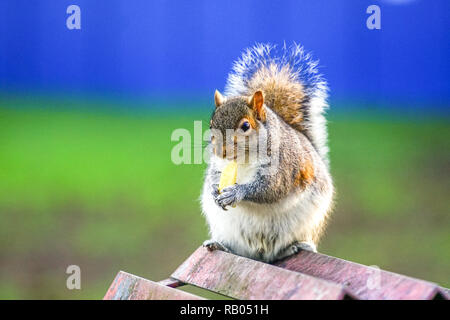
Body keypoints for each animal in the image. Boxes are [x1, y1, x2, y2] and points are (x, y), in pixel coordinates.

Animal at [200, 42, 334, 262]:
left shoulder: (285, 166)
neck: (244, 159)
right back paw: (220, 245)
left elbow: (270, 188)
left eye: (245, 126)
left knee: (277, 252)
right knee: (241, 251)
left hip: (306, 224)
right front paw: (213, 189)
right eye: (211, 125)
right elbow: (214, 176)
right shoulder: (219, 166)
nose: (220, 152)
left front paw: (237, 192)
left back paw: (296, 247)